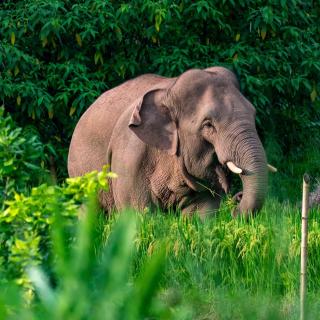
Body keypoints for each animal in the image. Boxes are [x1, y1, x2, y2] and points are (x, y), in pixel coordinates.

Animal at [68, 67, 276, 218]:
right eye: (208, 124)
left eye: (253, 114)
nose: (237, 199)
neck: (170, 91)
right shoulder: (129, 156)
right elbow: (136, 214)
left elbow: (202, 212)